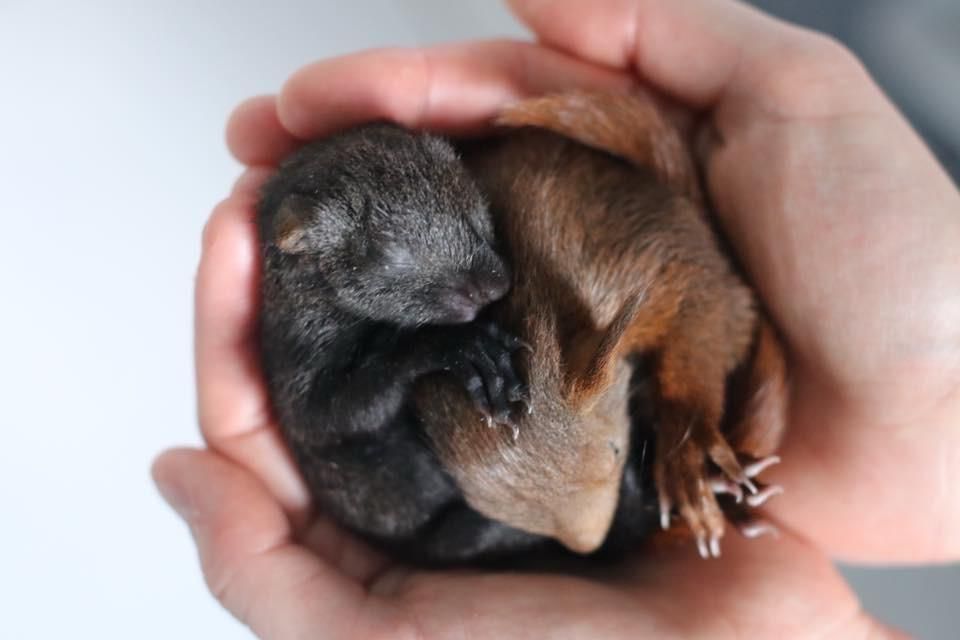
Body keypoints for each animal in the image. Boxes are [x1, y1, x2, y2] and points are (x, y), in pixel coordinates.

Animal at [257, 123, 534, 557]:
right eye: (390, 253)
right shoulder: (299, 361)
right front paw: (467, 351)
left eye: (475, 208)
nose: (495, 284)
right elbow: (338, 413)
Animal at [414, 91, 788, 559]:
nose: (589, 546)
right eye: (501, 513)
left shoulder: (647, 267)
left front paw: (686, 454)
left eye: (615, 451)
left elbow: (696, 327)